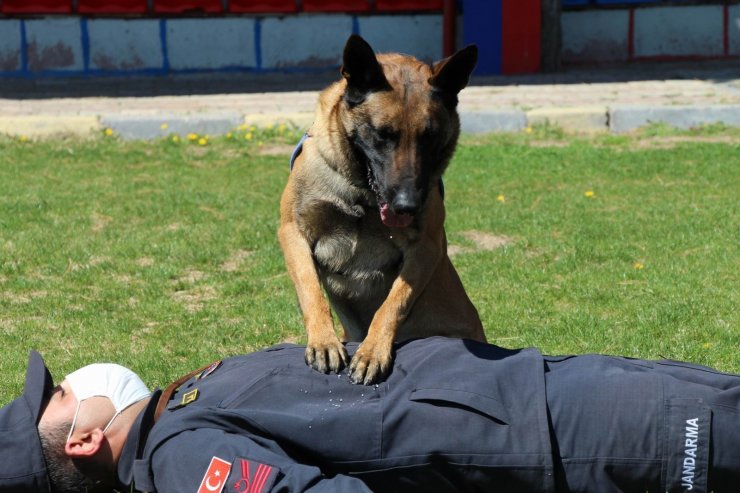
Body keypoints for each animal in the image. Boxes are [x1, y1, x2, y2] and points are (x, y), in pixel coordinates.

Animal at [278, 36, 486, 386]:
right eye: (383, 134)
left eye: (428, 137)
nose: (407, 205)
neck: (361, 195)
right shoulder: (293, 230)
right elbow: (310, 291)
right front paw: (323, 341)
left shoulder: (426, 247)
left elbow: (393, 303)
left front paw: (373, 351)